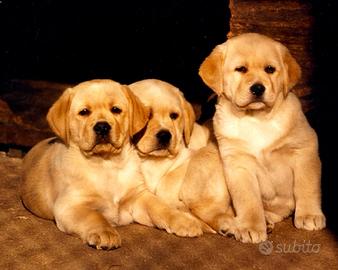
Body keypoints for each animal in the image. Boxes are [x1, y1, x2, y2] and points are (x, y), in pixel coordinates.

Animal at [21, 79, 206, 250]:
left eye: (116, 110)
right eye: (84, 112)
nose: (102, 127)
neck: (107, 164)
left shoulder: (139, 197)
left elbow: (160, 207)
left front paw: (183, 221)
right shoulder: (69, 205)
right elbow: (93, 216)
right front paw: (105, 232)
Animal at [128, 78, 234, 234]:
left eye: (174, 116)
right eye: (147, 115)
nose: (165, 135)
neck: (150, 159)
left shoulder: (190, 157)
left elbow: (167, 182)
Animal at [199, 32, 326, 244]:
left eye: (270, 69)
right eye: (241, 69)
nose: (258, 88)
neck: (256, 119)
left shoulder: (304, 149)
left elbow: (306, 185)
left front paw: (309, 214)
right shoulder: (238, 164)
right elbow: (248, 200)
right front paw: (250, 226)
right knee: (207, 209)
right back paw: (230, 225)